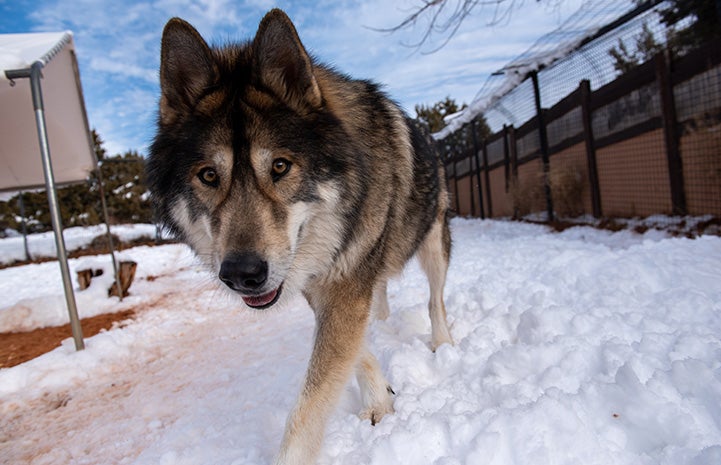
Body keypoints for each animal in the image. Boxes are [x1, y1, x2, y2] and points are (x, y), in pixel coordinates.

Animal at [144, 8, 452, 464]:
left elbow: (307, 408)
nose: (242, 274)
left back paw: (444, 345)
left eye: (280, 166)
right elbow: (354, 352)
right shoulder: (316, 283)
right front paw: (380, 399)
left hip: (435, 244)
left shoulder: (341, 285)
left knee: (436, 300)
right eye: (209, 175)